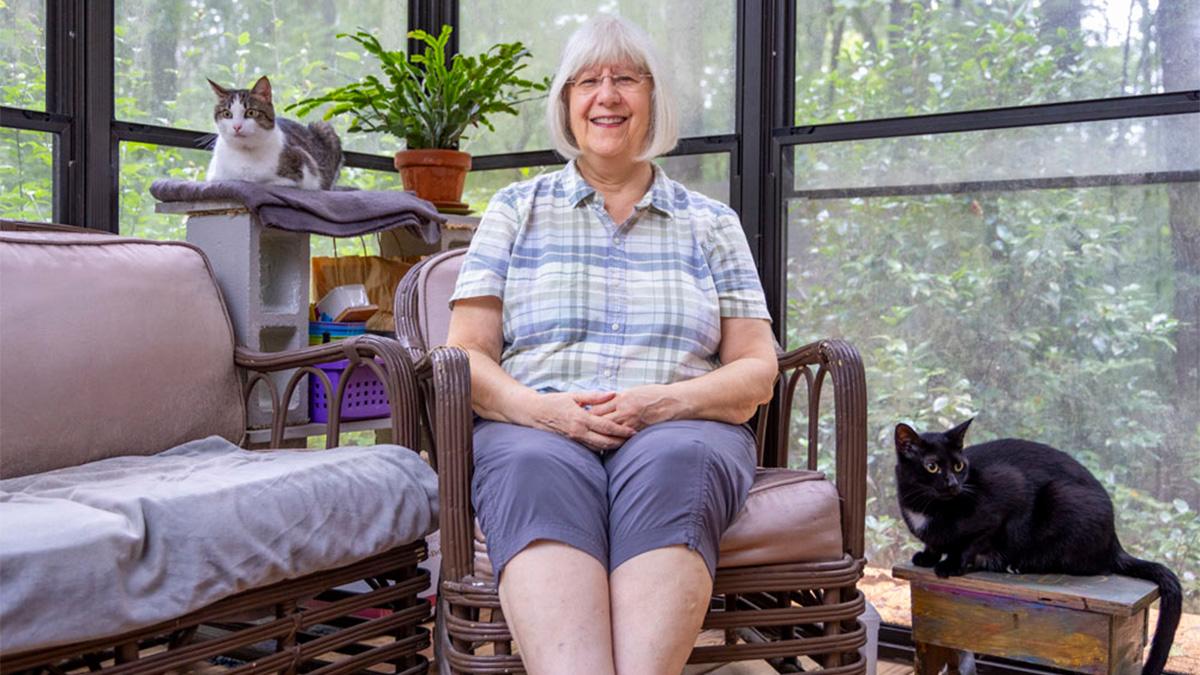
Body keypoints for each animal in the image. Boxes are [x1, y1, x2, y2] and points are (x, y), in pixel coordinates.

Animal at [206, 77, 343, 190]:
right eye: (227, 114)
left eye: (251, 112)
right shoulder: (215, 178)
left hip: (324, 127)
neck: (245, 152)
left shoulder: (302, 174)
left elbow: (265, 182)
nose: (237, 126)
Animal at [892, 417, 1180, 667]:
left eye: (959, 467)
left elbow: (971, 542)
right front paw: (927, 556)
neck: (926, 506)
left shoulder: (1009, 491)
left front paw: (951, 564)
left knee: (1089, 566)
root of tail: (1115, 541)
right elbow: (933, 544)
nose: (953, 484)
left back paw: (1015, 565)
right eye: (932, 467)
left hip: (1061, 497)